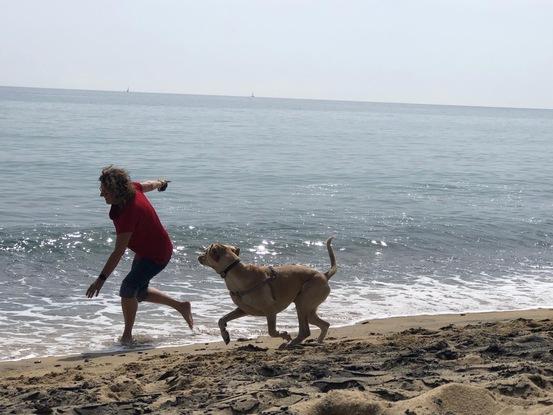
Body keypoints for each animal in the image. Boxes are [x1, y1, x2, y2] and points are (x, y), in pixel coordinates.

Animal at [198, 237, 336, 348]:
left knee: (305, 330)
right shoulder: (243, 310)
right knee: (325, 324)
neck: (233, 271)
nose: (198, 257)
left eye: (206, 252)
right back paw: (318, 341)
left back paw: (291, 343)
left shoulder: (270, 311)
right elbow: (221, 320)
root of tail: (324, 275)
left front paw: (284, 335)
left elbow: (271, 331)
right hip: (309, 310)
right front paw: (225, 335)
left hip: (302, 304)